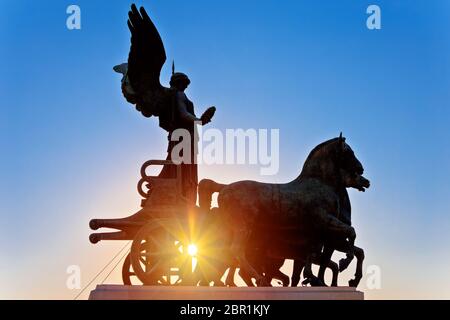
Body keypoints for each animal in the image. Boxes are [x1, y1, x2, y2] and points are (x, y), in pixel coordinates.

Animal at [199, 134, 370, 286]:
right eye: (348, 151)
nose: (362, 171)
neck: (320, 182)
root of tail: (224, 187)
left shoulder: (319, 235)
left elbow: (325, 256)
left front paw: (327, 279)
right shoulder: (325, 222)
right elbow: (351, 233)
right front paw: (344, 262)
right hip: (244, 227)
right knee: (235, 252)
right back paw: (259, 280)